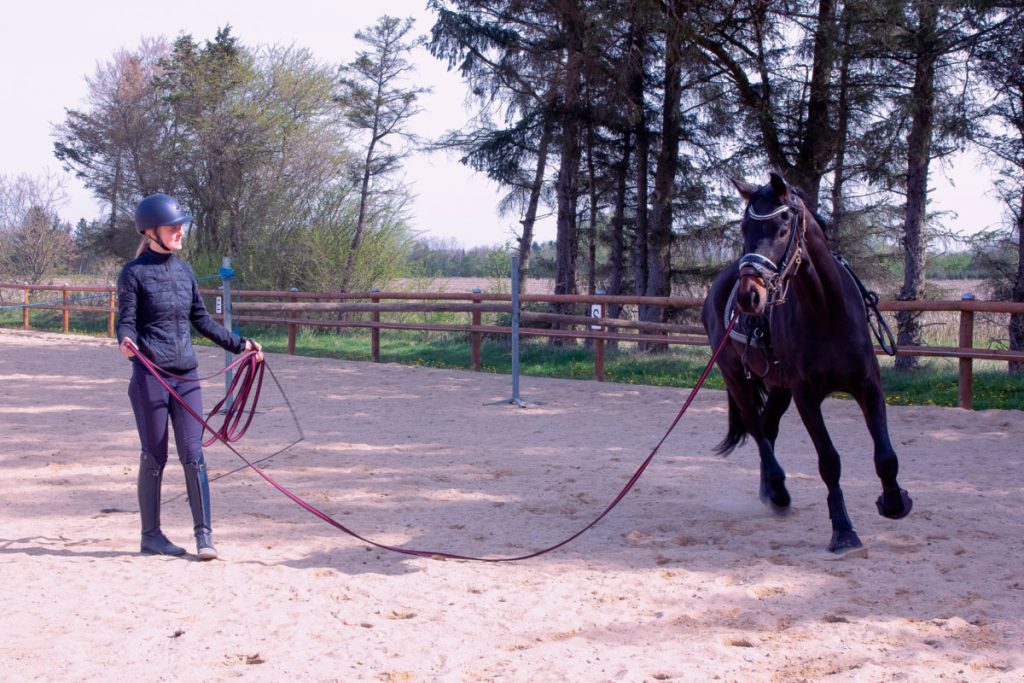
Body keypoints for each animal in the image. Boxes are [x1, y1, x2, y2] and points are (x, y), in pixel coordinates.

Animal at [704, 172, 913, 557]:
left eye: (783, 228)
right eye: (744, 228)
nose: (749, 296)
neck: (826, 310)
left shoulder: (868, 385)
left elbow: (886, 455)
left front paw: (894, 502)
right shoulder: (805, 395)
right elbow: (829, 461)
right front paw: (843, 531)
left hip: (778, 386)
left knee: (768, 428)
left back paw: (771, 491)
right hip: (736, 378)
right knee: (757, 429)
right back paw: (778, 491)